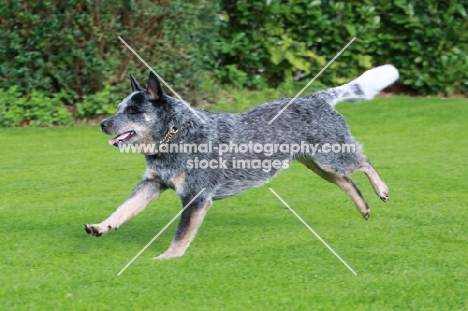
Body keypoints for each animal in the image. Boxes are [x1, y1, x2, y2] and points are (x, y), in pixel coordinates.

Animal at [84, 64, 398, 260]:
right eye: (118, 108)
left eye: (133, 111)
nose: (102, 124)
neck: (176, 135)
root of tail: (317, 98)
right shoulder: (152, 183)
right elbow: (123, 210)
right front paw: (101, 226)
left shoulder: (195, 197)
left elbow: (181, 233)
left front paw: (168, 257)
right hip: (319, 166)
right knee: (348, 182)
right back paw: (364, 208)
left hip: (331, 157)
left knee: (363, 160)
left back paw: (382, 190)